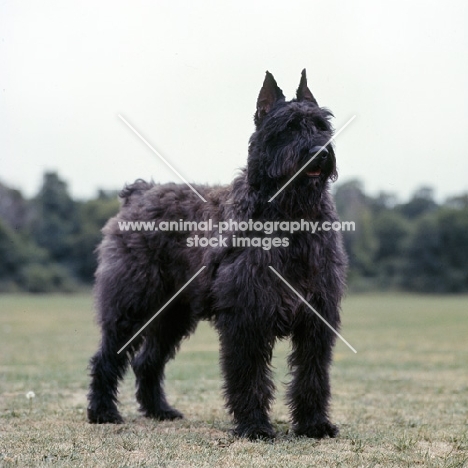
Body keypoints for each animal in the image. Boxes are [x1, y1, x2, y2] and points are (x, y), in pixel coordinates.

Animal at [88, 69, 346, 438]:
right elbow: (249, 375)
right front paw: (254, 425)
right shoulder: (246, 316)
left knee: (147, 361)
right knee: (108, 356)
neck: (289, 217)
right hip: (131, 306)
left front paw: (314, 424)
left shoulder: (317, 318)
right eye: (288, 127)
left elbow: (313, 374)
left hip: (172, 315)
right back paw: (103, 411)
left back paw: (159, 410)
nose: (320, 152)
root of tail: (139, 193)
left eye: (322, 125)